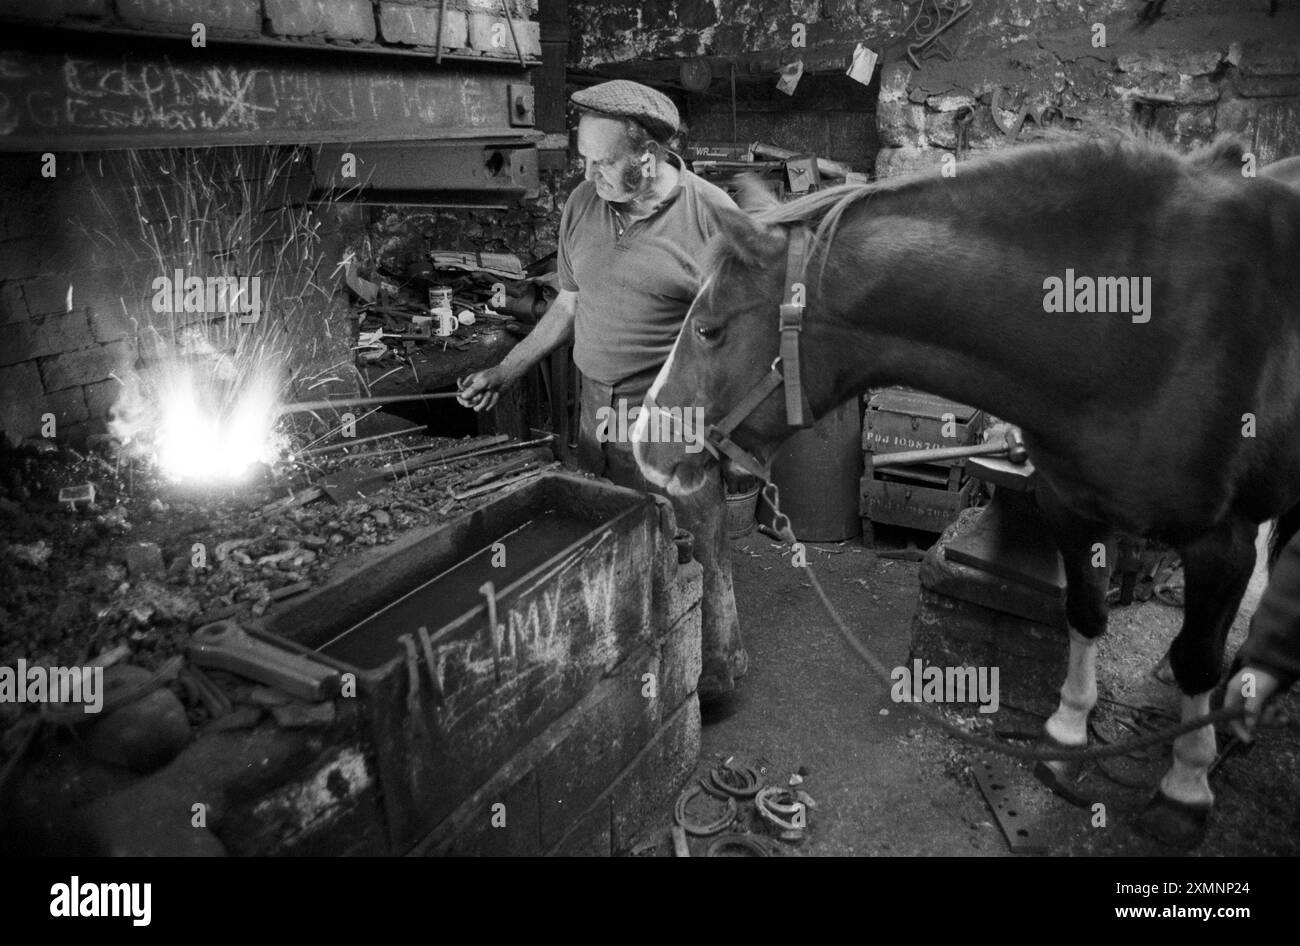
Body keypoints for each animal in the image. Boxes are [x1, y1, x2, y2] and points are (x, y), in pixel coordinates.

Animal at [634, 131, 1300, 842]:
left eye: (708, 327)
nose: (643, 443)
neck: (1133, 333)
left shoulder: (1223, 544)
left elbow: (1198, 656)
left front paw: (1185, 787)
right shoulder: (1070, 508)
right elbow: (1086, 614)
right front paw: (1066, 736)